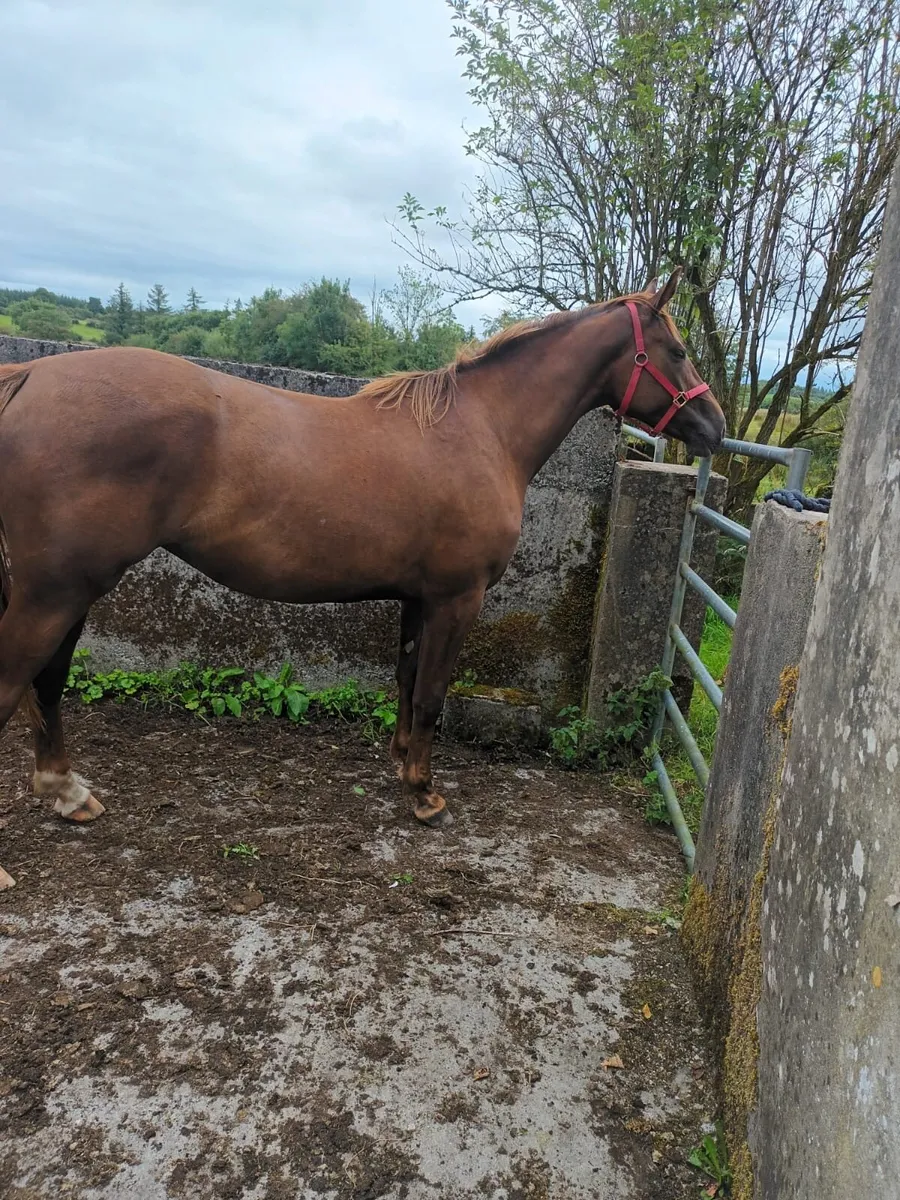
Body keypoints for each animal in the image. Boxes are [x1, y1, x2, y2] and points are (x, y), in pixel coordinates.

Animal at [0, 270, 725, 889]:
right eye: (678, 348)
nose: (715, 426)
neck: (482, 429)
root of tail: (31, 375)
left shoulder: (418, 598)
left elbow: (405, 681)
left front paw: (401, 761)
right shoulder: (456, 598)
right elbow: (431, 694)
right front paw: (425, 794)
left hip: (69, 591)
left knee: (48, 683)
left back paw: (68, 793)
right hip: (54, 592)